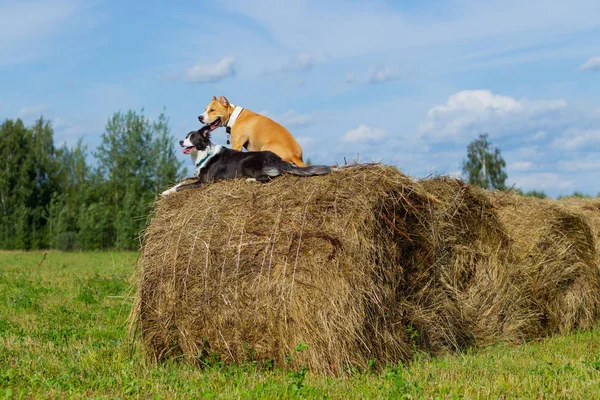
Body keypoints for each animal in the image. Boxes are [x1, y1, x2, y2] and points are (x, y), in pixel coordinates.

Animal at [162, 124, 330, 195]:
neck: (204, 153)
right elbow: (182, 182)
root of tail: (278, 159)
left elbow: (183, 186)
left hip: (246, 163)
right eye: (185, 137)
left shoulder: (205, 182)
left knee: (269, 176)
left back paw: (250, 180)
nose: (180, 142)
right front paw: (167, 190)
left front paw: (169, 192)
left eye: (192, 138)